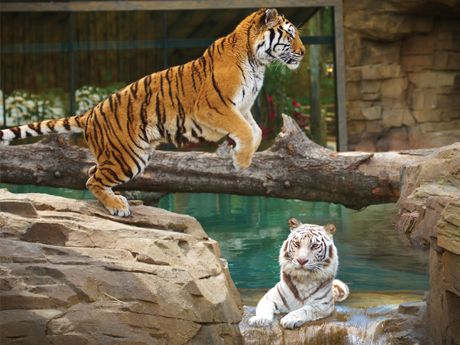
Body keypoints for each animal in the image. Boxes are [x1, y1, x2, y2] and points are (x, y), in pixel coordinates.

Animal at [3, 8, 308, 215]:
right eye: (290, 34)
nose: (304, 52)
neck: (258, 63)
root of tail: (90, 113)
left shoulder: (243, 108)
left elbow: (255, 131)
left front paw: (241, 158)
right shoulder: (215, 106)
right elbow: (245, 130)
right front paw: (241, 162)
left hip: (128, 156)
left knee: (91, 172)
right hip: (126, 158)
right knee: (93, 179)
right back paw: (118, 205)